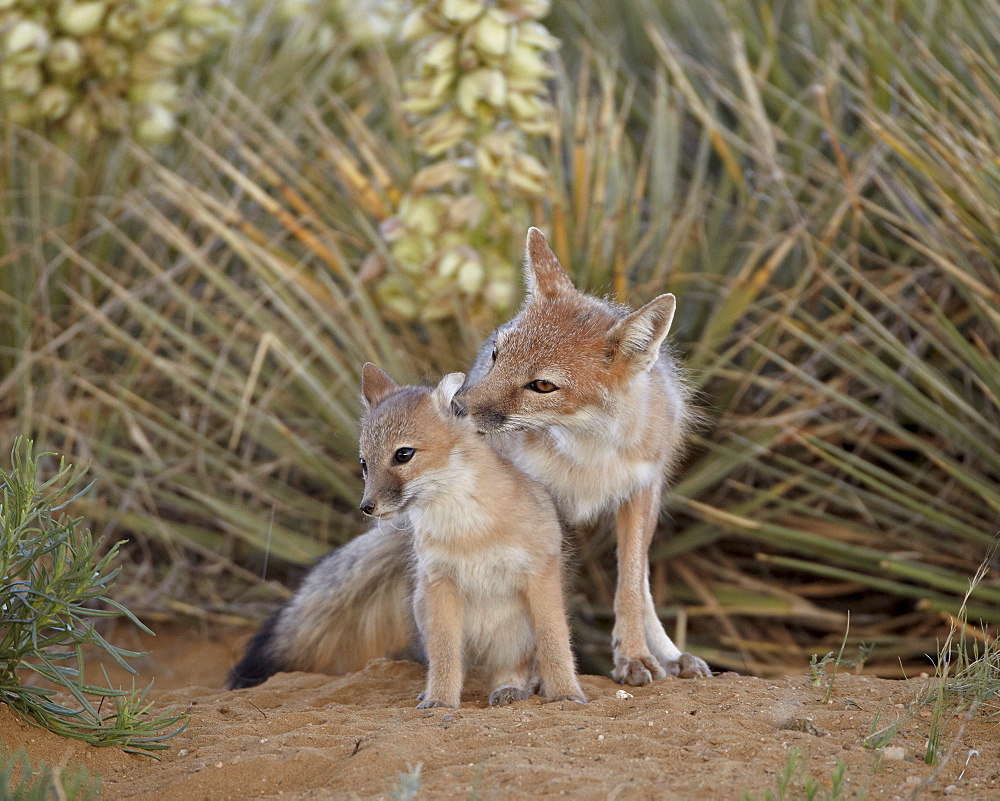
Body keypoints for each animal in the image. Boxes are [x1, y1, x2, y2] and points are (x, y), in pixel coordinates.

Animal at [456, 228, 712, 684]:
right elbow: (544, 594)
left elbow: (630, 587)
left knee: (643, 582)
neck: (589, 453)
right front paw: (540, 671)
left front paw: (634, 655)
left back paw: (671, 654)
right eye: (497, 356)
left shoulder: (640, 493)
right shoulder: (540, 505)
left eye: (542, 385)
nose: (456, 406)